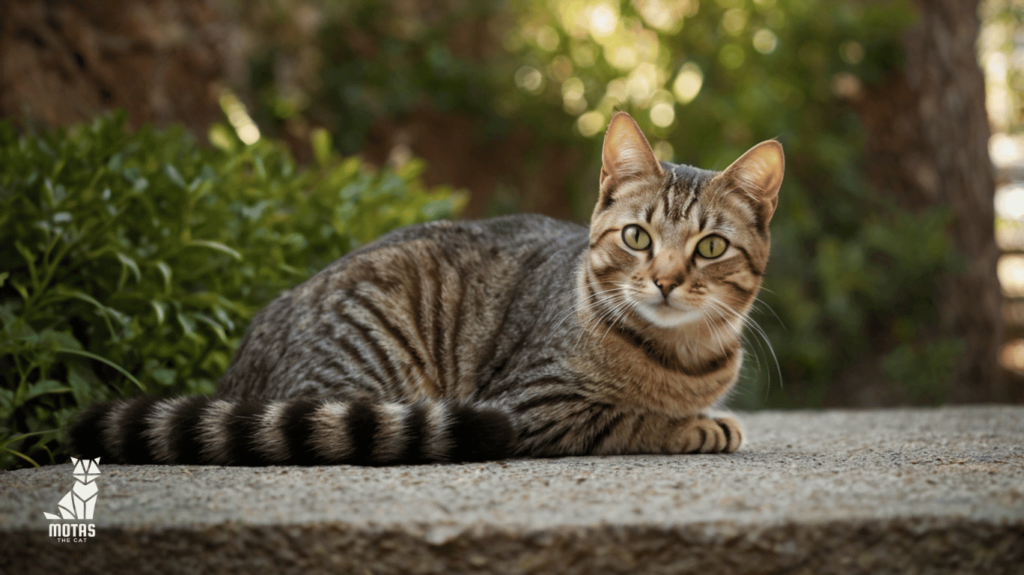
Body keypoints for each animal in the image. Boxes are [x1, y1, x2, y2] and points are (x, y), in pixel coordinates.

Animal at [70, 113, 782, 466]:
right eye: (637, 237)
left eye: (709, 247)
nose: (664, 280)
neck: (683, 357)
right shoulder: (535, 406)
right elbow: (637, 418)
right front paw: (704, 425)